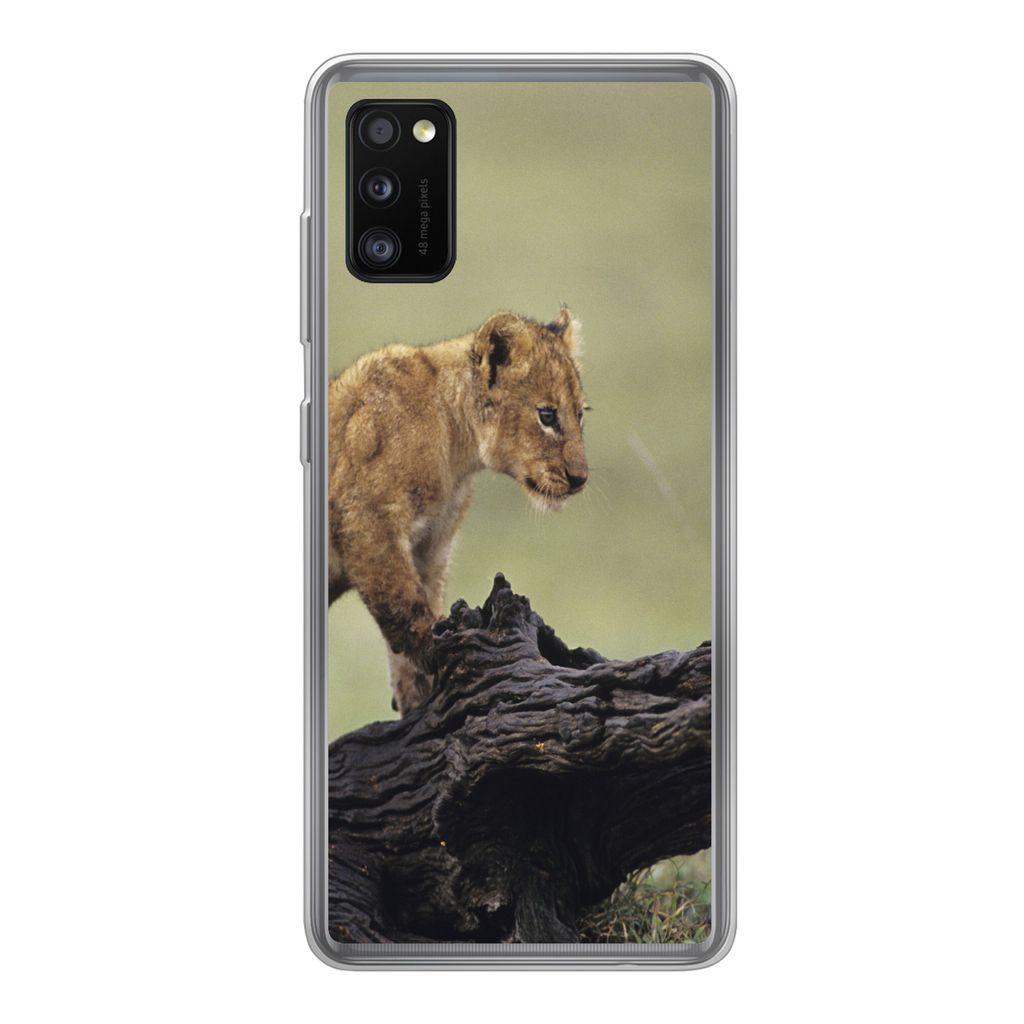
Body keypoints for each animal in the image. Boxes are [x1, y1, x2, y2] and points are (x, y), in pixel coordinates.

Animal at [328, 306, 588, 715]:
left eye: (581, 414)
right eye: (547, 415)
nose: (580, 478)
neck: (456, 445)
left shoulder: (430, 546)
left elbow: (416, 617)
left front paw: (418, 698)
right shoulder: (366, 519)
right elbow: (404, 609)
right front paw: (439, 653)